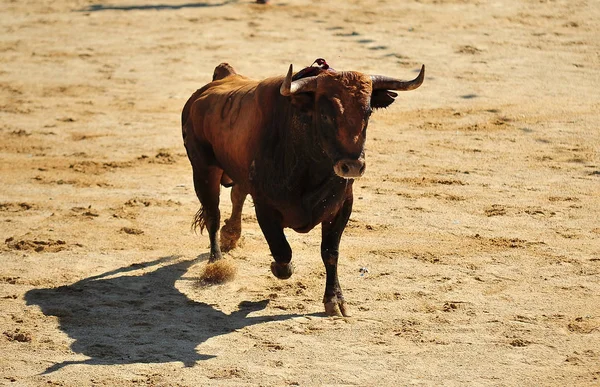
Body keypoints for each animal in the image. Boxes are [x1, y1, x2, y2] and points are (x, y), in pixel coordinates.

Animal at [180, 59, 424, 316]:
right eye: (325, 115)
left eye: (367, 113)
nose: (353, 166)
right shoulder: (265, 206)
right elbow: (282, 251)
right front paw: (279, 268)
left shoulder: (342, 206)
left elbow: (330, 253)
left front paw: (334, 299)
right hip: (204, 171)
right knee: (213, 214)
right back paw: (216, 261)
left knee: (237, 195)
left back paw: (231, 235)